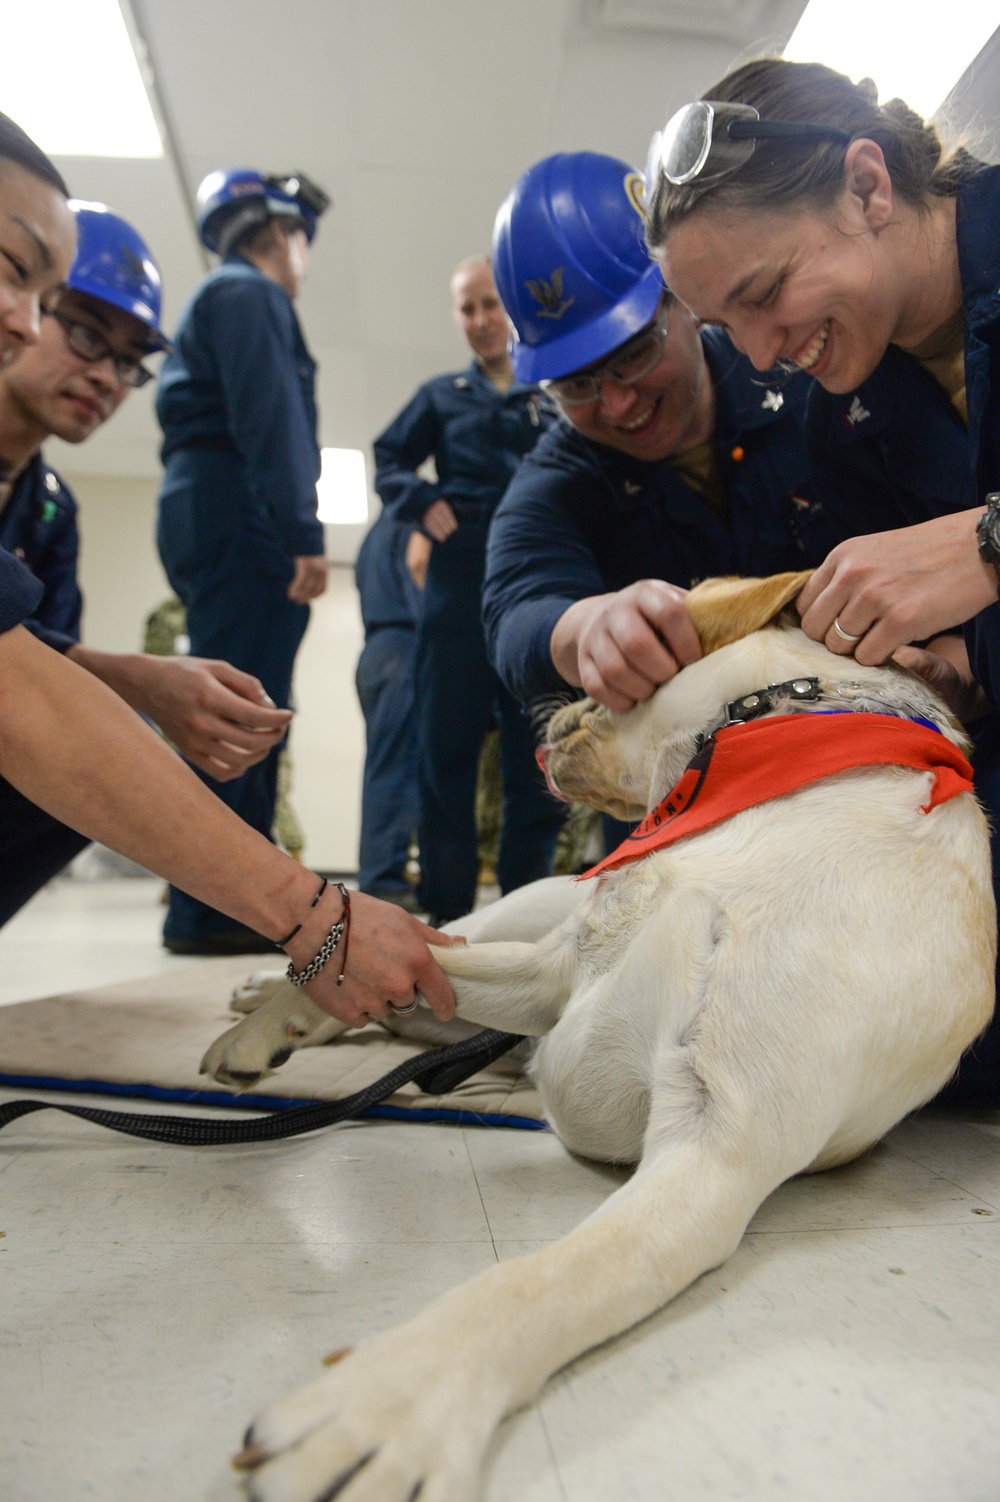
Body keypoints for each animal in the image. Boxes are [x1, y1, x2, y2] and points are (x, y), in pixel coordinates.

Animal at [205, 573, 990, 1502]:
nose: (553, 697)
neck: (757, 774)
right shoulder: (552, 970)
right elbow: (404, 952)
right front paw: (273, 1007)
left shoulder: (715, 1154)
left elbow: (534, 1282)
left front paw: (386, 1401)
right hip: (520, 911)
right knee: (411, 949)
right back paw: (262, 1005)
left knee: (409, 1004)